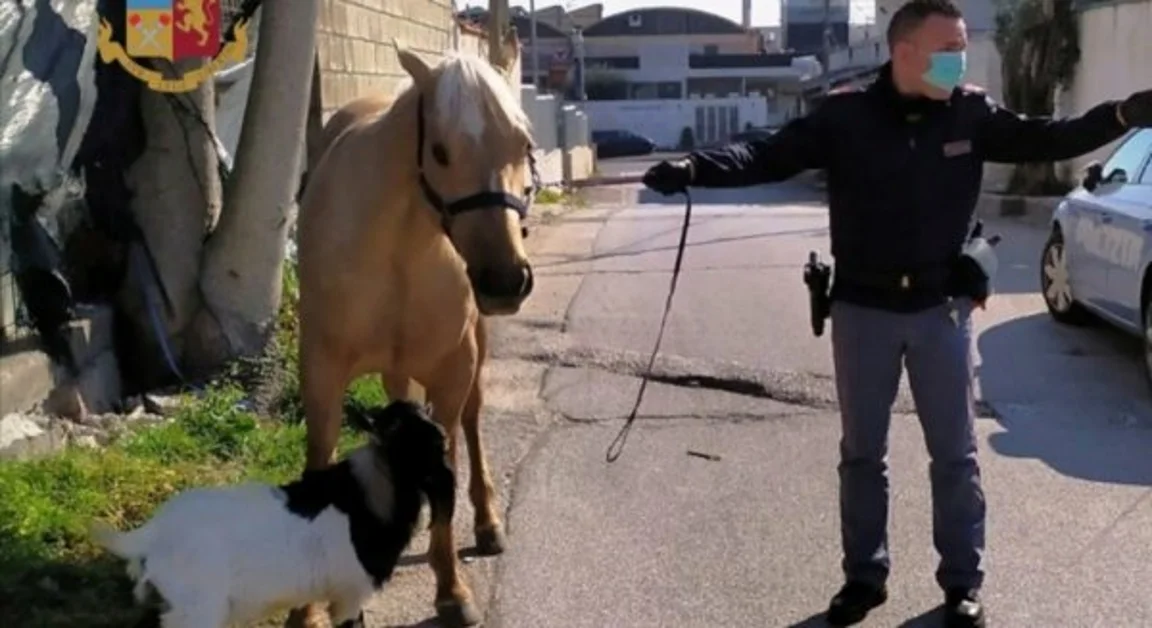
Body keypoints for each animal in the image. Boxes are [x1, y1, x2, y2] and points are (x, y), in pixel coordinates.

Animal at [89, 400, 456, 628]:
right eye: (394, 429)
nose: (443, 436)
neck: (367, 497)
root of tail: (149, 535)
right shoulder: (350, 593)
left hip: (169, 602)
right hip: (196, 608)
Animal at [290, 35, 536, 628]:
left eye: (523, 143)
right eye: (441, 151)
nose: (504, 280)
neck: (399, 242)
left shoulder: (453, 369)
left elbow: (449, 448)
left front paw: (452, 591)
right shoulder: (322, 369)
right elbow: (320, 455)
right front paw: (306, 611)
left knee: (472, 421)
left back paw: (487, 523)